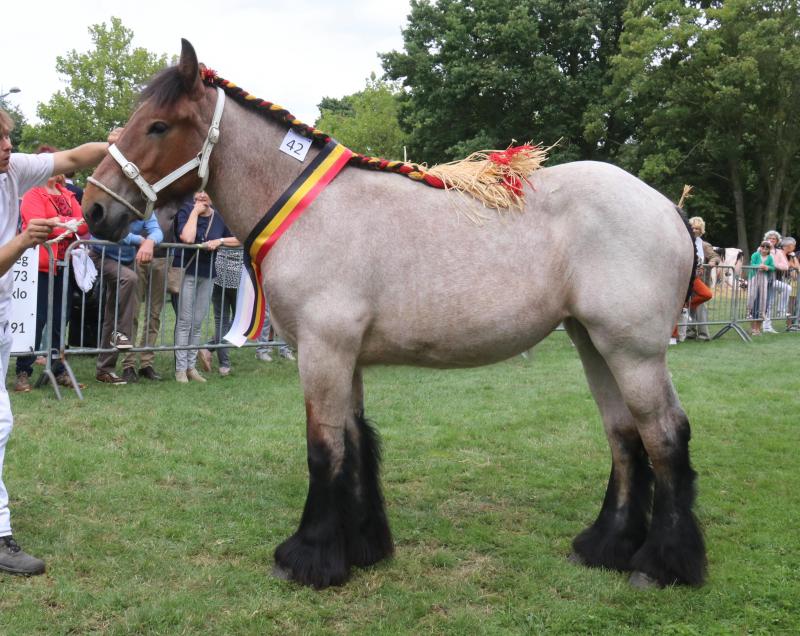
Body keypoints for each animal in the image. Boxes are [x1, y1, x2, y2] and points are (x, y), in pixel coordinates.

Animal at [81, 39, 708, 588]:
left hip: (632, 350)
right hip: (592, 342)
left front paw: (308, 558)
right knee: (624, 437)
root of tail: (669, 211)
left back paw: (661, 565)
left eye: (158, 126)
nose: (94, 209)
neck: (309, 209)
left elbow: (324, 449)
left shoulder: (323, 350)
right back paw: (606, 547)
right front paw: (362, 548)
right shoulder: (345, 355)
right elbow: (357, 443)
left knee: (664, 436)